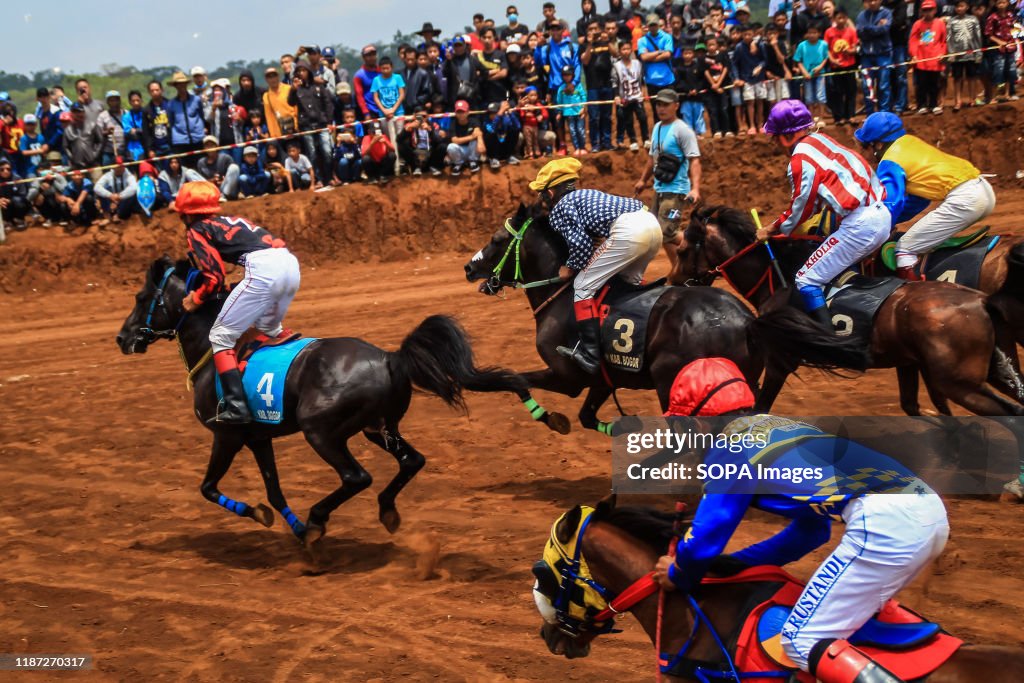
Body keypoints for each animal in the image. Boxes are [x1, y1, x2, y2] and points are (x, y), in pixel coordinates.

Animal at [116, 255, 548, 548]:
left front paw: (260, 515)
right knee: (412, 461)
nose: (122, 338)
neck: (212, 351)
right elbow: (274, 490)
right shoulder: (259, 437)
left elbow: (207, 487)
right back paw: (384, 510)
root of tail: (391, 357)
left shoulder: (228, 435)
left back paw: (319, 518)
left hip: (320, 431)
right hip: (378, 428)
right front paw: (290, 526)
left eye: (140, 297)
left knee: (357, 476)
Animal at [464, 200, 872, 432]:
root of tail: (747, 320)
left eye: (497, 240)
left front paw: (550, 418)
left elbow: (517, 379)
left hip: (672, 383)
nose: (469, 268)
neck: (560, 295)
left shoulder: (567, 376)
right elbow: (587, 416)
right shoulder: (605, 379)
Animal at [671, 202, 1024, 417]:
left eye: (683, 249)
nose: (673, 281)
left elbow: (759, 405)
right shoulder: (909, 363)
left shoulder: (780, 360)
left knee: (1011, 412)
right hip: (992, 368)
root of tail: (981, 301)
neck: (779, 277)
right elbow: (919, 407)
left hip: (960, 381)